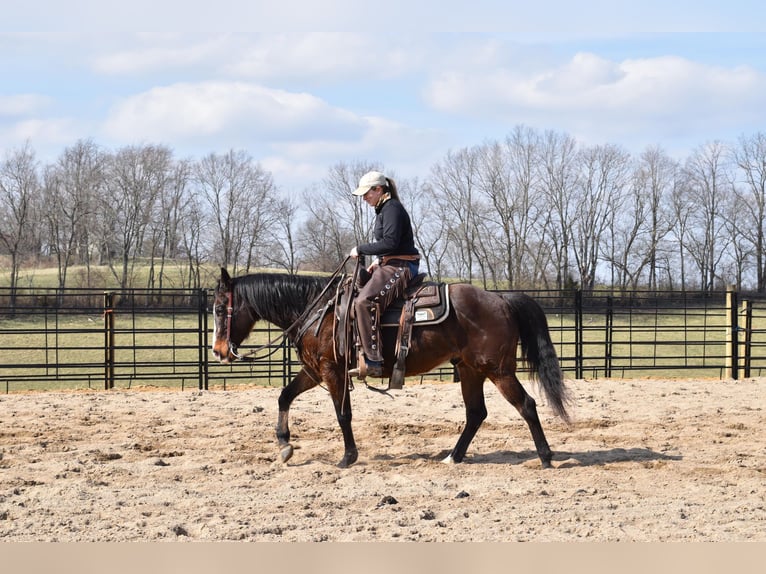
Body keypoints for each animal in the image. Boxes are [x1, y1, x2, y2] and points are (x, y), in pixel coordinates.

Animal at [210, 268, 568, 470]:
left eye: (219, 308)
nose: (218, 351)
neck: (317, 310)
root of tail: (502, 299)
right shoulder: (314, 370)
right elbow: (284, 396)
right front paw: (285, 445)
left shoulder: (332, 371)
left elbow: (343, 414)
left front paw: (348, 457)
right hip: (470, 370)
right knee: (476, 413)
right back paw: (453, 457)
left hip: (498, 370)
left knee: (526, 405)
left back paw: (546, 457)